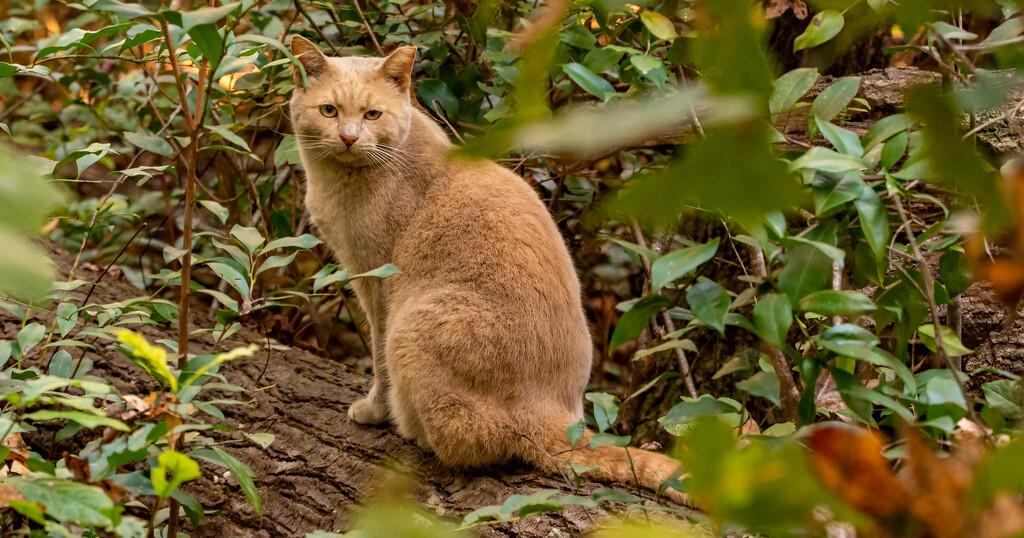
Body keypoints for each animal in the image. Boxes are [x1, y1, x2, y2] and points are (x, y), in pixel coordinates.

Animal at [288, 34, 688, 504]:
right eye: (329, 111)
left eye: (372, 114)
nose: (349, 138)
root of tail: (553, 415)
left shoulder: (375, 286)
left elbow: (377, 362)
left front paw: (373, 410)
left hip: (410, 327)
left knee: (468, 445)